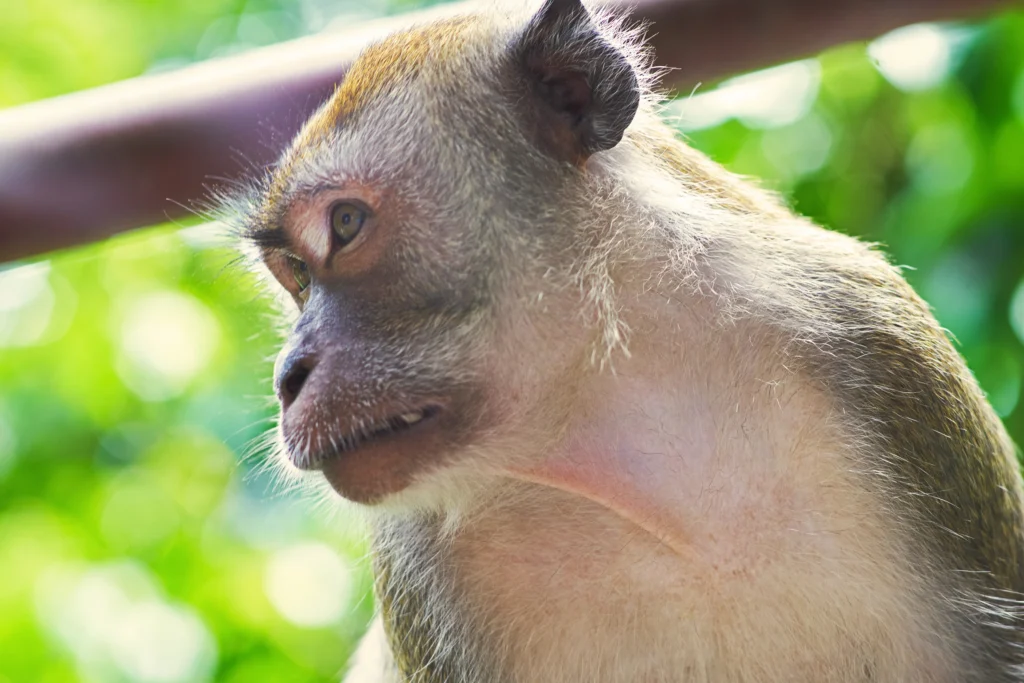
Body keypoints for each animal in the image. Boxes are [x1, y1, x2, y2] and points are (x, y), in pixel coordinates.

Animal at [231, 0, 1024, 680]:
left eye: (345, 226)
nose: (288, 376)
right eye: (295, 273)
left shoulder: (888, 355)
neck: (625, 423)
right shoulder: (415, 558)